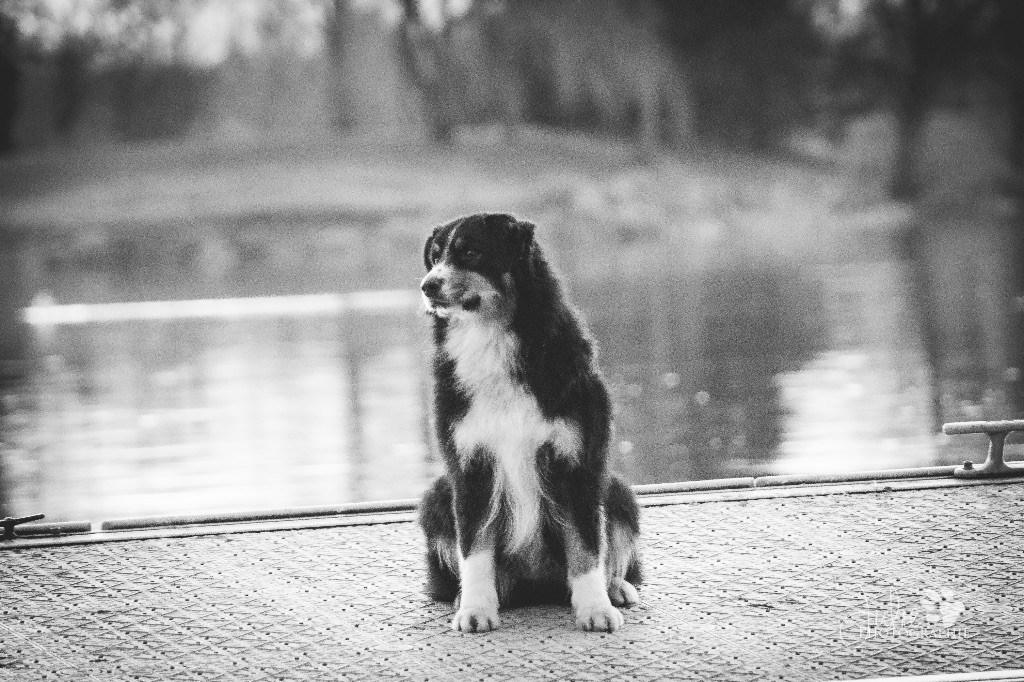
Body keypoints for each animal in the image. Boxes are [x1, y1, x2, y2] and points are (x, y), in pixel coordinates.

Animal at [415, 212, 638, 630]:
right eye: (434, 257)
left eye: (471, 252)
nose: (428, 285)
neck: (491, 340)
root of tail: (537, 585)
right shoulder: (470, 466)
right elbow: (474, 548)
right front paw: (476, 610)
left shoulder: (577, 462)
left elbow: (586, 547)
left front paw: (596, 609)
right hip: (437, 496)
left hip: (617, 491)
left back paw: (616, 588)